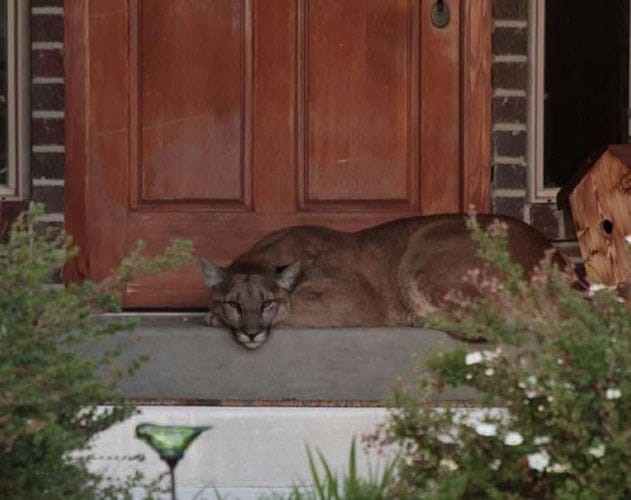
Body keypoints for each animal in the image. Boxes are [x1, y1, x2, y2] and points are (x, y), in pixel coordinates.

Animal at [200, 213, 564, 350]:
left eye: (266, 303)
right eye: (234, 303)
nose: (250, 332)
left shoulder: (351, 302)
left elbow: (292, 309)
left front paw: (213, 318)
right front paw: (214, 314)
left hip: (425, 245)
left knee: (485, 325)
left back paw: (418, 318)